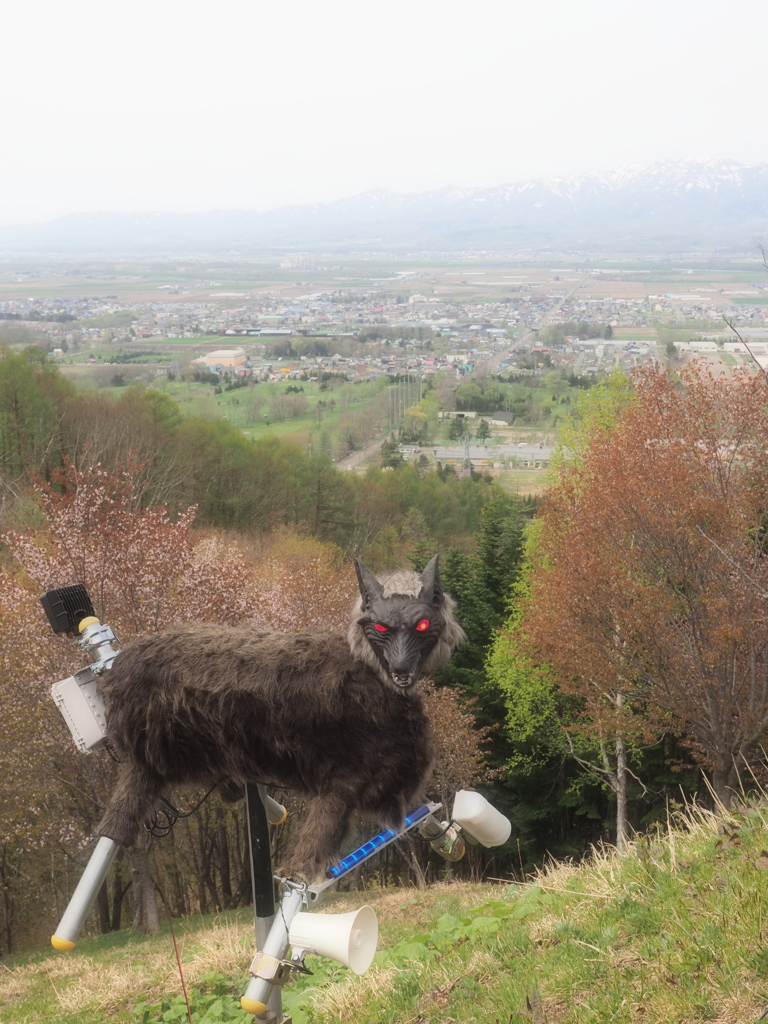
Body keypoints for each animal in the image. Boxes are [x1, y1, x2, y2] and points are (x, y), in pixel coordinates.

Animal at [93, 552, 460, 880]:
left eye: (422, 624)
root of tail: (119, 665)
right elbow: (303, 867)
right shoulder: (345, 783)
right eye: (381, 626)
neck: (369, 672)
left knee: (115, 826)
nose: (401, 669)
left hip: (153, 763)